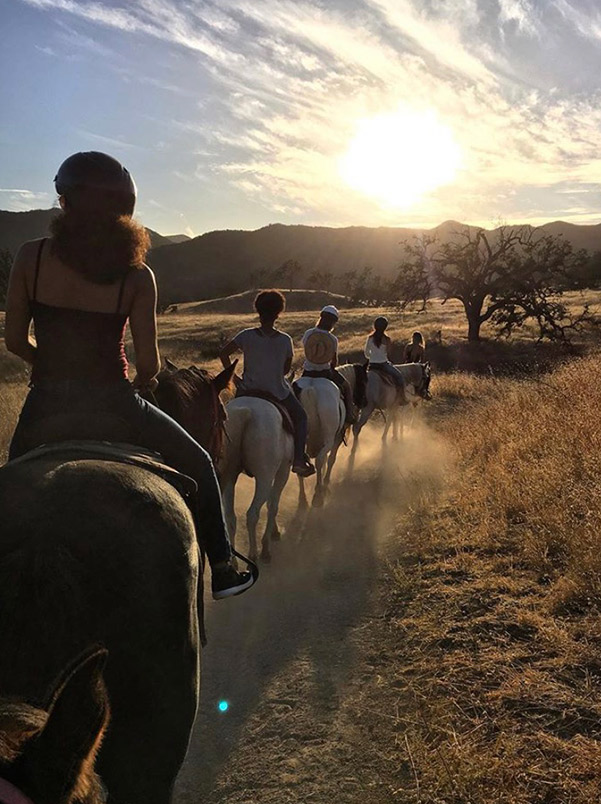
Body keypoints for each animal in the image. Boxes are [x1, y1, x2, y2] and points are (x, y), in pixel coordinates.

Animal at [218, 398, 292, 564]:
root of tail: (246, 412)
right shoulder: (283, 470)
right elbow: (273, 505)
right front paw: (269, 539)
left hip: (230, 478)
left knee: (230, 517)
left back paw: (234, 561)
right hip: (264, 476)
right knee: (252, 514)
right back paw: (257, 553)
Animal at [292, 378, 344, 508]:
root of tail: (311, 388)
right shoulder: (337, 439)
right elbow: (330, 459)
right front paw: (325, 483)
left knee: (300, 461)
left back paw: (302, 498)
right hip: (330, 438)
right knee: (319, 460)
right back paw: (318, 493)